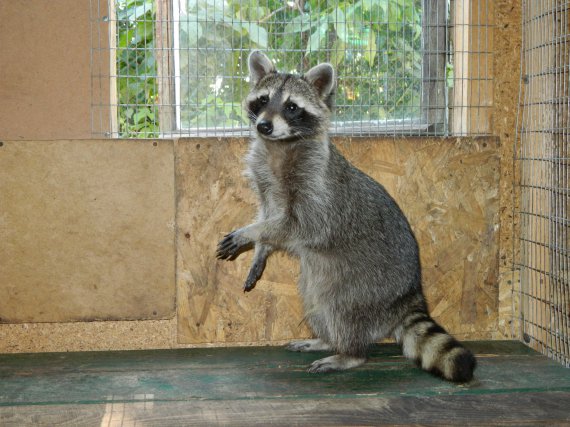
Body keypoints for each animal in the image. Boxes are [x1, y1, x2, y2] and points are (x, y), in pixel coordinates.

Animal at [216, 51, 474, 384]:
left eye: (291, 107)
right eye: (263, 100)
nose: (264, 126)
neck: (279, 146)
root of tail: (410, 294)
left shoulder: (317, 189)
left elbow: (295, 224)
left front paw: (251, 233)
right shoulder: (265, 181)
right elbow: (270, 216)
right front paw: (261, 248)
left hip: (364, 284)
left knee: (341, 308)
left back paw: (349, 352)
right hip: (321, 275)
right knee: (315, 300)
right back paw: (326, 339)